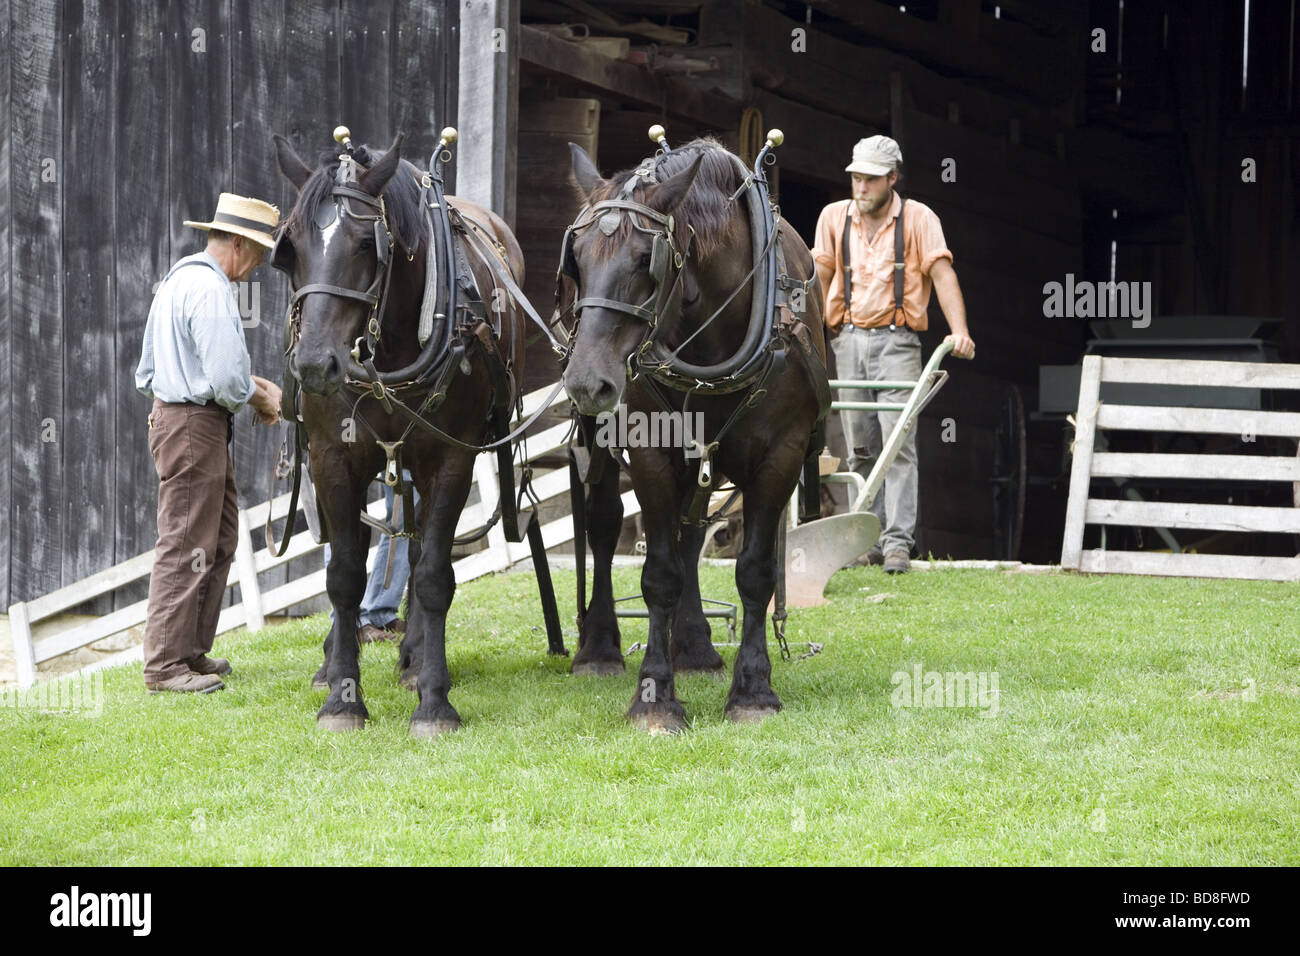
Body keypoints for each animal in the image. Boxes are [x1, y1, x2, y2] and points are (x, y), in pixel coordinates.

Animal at [274, 130, 527, 738]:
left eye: (368, 244)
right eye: (289, 246)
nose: (314, 364)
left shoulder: (451, 459)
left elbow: (433, 573)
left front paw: (434, 701)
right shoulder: (331, 457)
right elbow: (343, 575)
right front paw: (341, 698)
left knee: (414, 550)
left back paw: (414, 661)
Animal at [564, 136, 826, 733]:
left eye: (646, 259)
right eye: (577, 258)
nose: (587, 382)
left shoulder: (781, 455)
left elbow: (754, 573)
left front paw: (753, 690)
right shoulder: (651, 453)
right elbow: (658, 574)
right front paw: (653, 697)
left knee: (689, 534)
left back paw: (698, 648)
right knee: (604, 526)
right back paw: (599, 648)